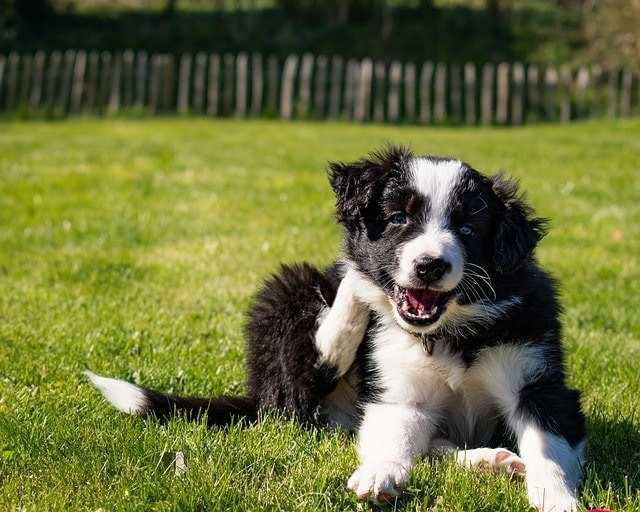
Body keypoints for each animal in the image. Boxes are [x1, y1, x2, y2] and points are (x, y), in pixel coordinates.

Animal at [87, 145, 588, 512]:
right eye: (398, 218)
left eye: (468, 228)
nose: (429, 266)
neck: (449, 332)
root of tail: (258, 395)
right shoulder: (398, 389)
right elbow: (394, 434)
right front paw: (382, 473)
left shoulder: (536, 380)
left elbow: (549, 446)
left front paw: (559, 500)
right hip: (286, 293)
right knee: (312, 373)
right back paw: (354, 287)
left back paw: (491, 460)